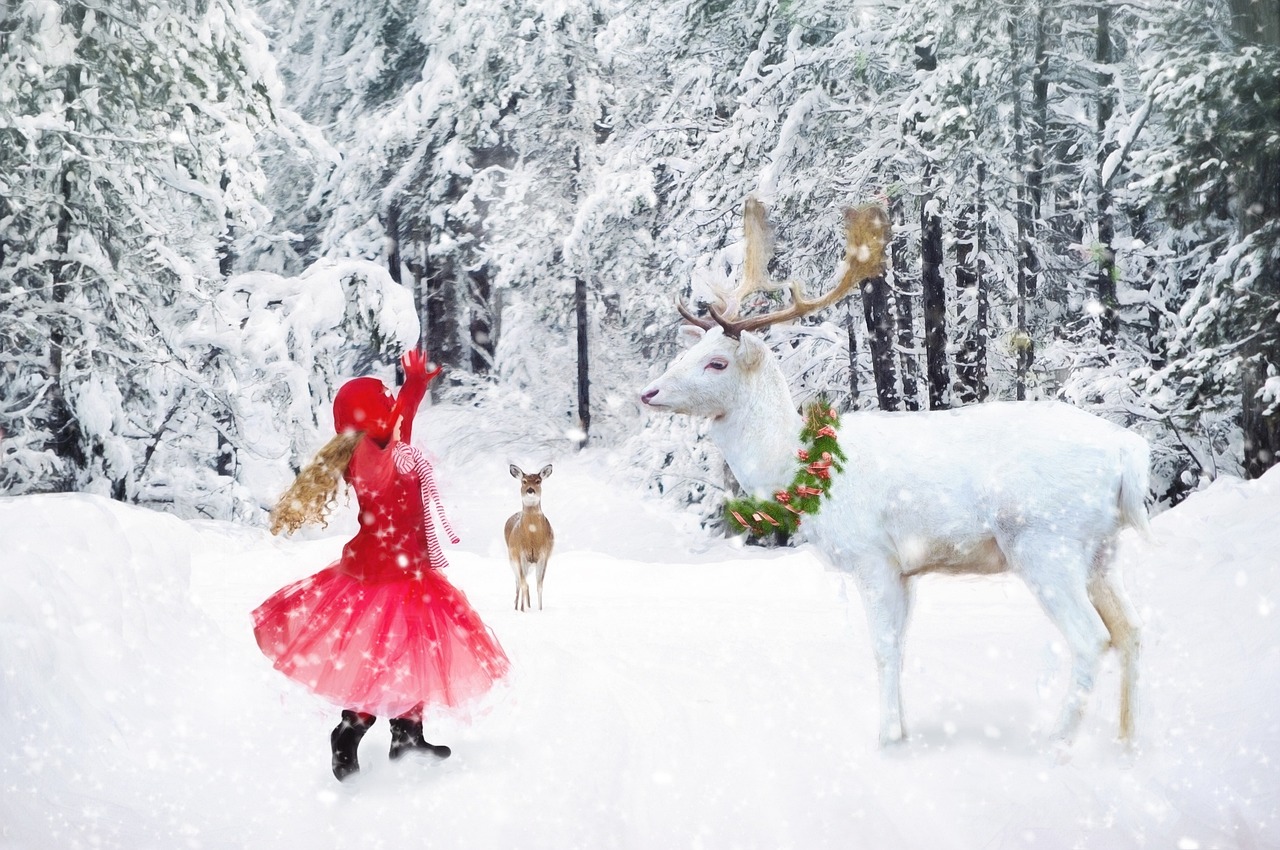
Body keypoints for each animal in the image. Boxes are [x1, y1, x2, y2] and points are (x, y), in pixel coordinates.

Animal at [504, 465, 555, 611]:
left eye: (538, 481)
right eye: (524, 481)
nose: (530, 490)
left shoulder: (544, 554)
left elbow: (539, 585)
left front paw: (540, 609)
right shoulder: (520, 554)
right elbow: (523, 583)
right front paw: (522, 610)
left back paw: (528, 605)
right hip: (512, 558)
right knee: (519, 582)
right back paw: (517, 606)